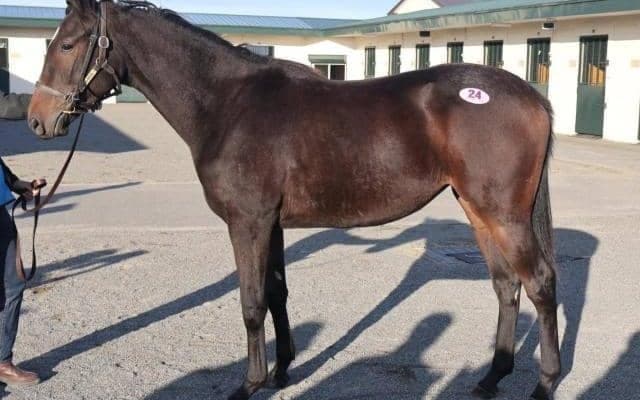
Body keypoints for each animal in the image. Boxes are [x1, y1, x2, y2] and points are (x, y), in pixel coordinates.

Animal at [28, 1, 560, 399]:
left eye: (68, 44)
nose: (38, 119)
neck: (228, 103)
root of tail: (532, 97)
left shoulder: (247, 222)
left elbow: (251, 302)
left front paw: (250, 383)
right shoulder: (274, 224)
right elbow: (278, 293)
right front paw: (283, 372)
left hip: (504, 215)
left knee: (539, 283)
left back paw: (546, 382)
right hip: (478, 210)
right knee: (506, 286)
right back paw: (491, 377)